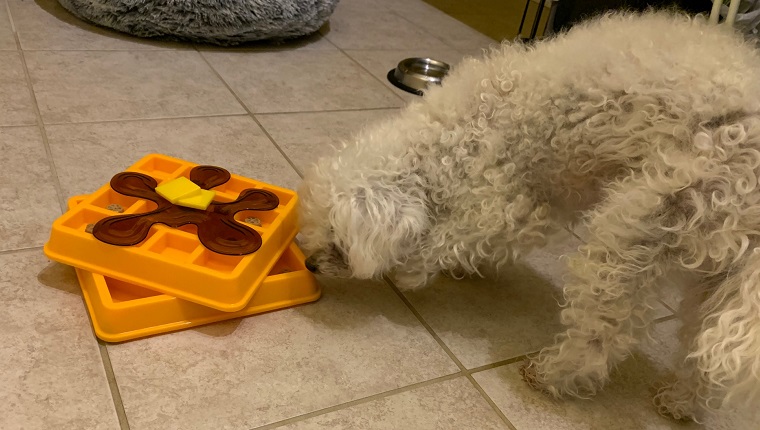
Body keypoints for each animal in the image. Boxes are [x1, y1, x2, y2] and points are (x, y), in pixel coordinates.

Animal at [296, 10, 760, 424]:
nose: (310, 264)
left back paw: (551, 375)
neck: (456, 133)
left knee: (604, 333)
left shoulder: (505, 204)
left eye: (338, 239)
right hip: (716, 273)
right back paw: (680, 403)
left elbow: (448, 239)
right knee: (702, 351)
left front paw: (413, 271)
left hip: (637, 225)